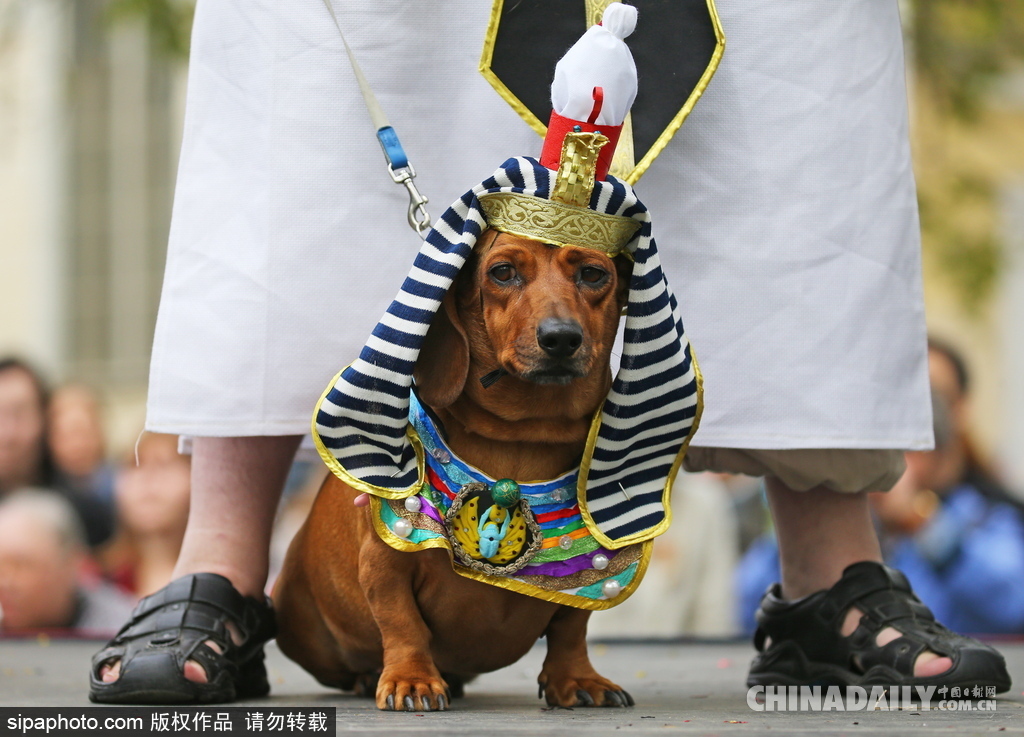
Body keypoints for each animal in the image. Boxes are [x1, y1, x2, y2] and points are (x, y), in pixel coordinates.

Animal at [276, 231, 634, 712]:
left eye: (593, 274)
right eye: (502, 271)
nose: (561, 338)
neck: (522, 438)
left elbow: (570, 629)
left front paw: (577, 679)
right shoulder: (385, 563)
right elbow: (402, 623)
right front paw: (412, 680)